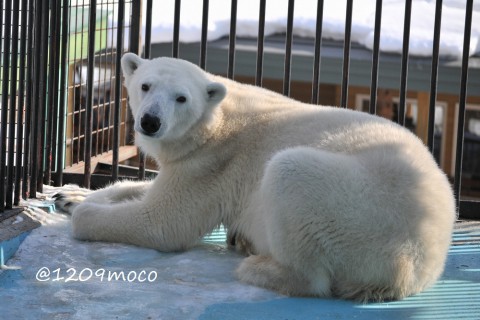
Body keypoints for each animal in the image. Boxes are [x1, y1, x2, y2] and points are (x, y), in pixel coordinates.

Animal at [54, 53, 456, 302]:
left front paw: (81, 213)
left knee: (289, 176)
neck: (217, 117)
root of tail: (421, 262)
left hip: (358, 208)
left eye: (181, 98)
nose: (150, 121)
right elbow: (145, 188)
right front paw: (69, 195)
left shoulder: (216, 163)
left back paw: (258, 265)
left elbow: (164, 222)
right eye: (145, 85)